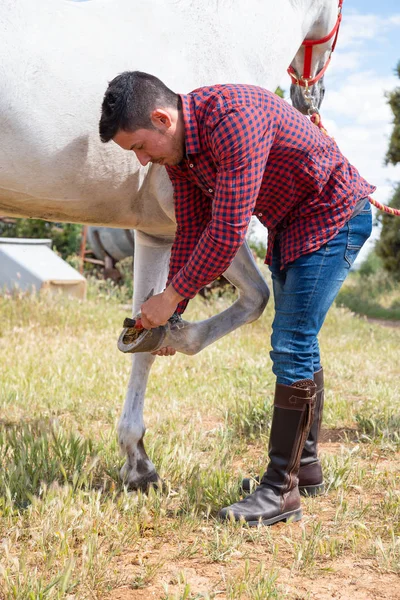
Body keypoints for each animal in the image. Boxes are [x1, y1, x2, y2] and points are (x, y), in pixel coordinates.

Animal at [0, 0, 340, 488]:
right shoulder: (207, 220)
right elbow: (255, 298)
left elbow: (145, 332)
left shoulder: (157, 233)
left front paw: (137, 461)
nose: (312, 96)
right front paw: (181, 338)